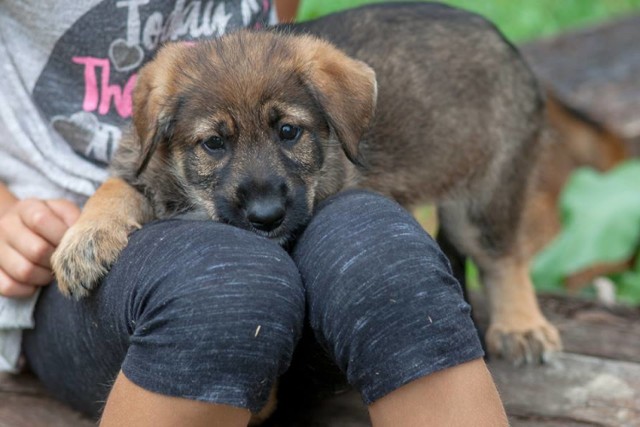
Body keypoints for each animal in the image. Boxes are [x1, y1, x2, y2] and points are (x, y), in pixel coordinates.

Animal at [51, 1, 560, 368]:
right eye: (214, 143)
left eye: (288, 132)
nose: (266, 217)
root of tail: (501, 39)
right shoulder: (141, 166)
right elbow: (114, 189)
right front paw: (84, 242)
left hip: (486, 191)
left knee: (504, 258)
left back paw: (521, 324)